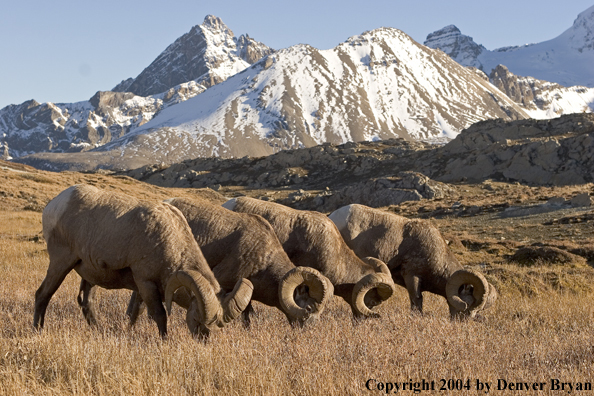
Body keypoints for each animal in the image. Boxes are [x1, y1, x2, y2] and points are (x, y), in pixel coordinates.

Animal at [35, 186, 251, 338]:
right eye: (197, 318)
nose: (204, 340)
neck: (170, 239)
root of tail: (54, 205)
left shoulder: (140, 287)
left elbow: (136, 312)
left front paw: (129, 331)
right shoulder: (146, 283)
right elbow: (159, 315)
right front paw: (164, 341)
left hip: (89, 274)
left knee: (86, 302)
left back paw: (98, 330)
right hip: (61, 263)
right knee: (43, 295)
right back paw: (37, 330)